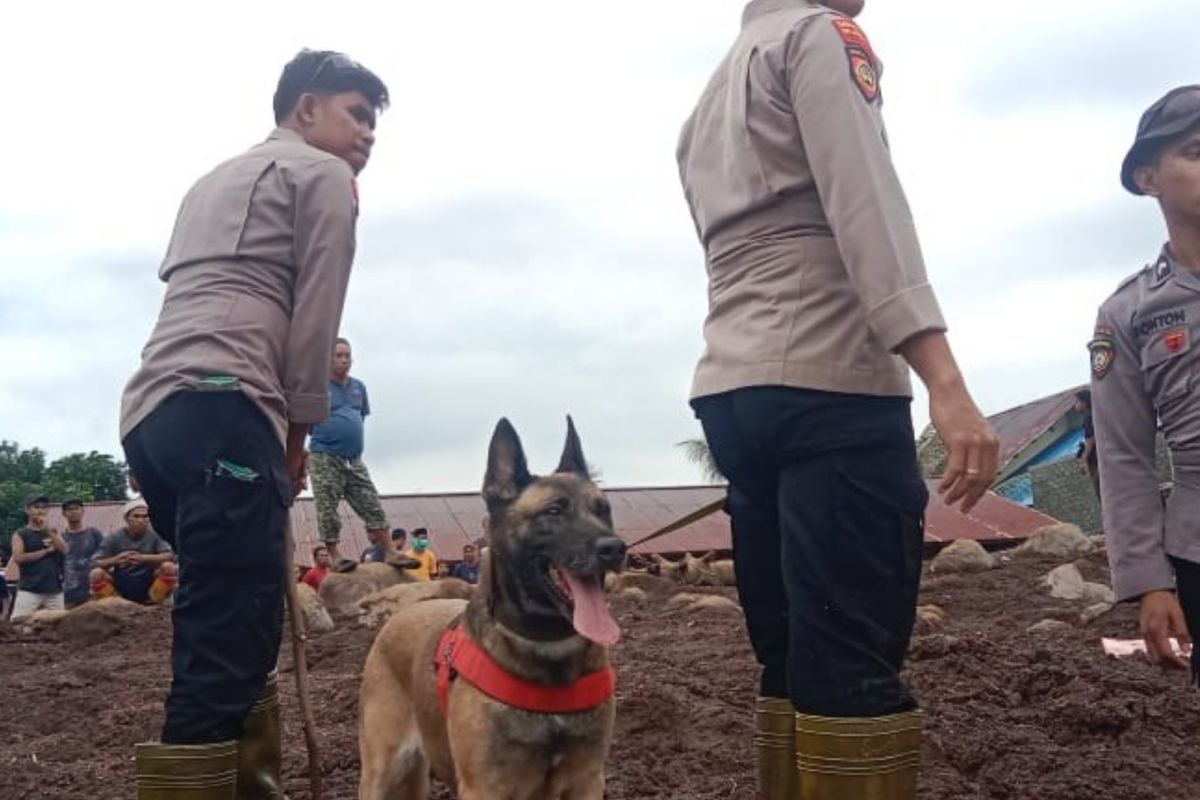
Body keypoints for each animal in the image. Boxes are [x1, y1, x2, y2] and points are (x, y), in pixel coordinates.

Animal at [355, 417, 628, 796]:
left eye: (603, 510)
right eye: (554, 511)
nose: (615, 548)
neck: (547, 647)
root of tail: (398, 615)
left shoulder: (587, 780)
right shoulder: (485, 787)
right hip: (380, 771)